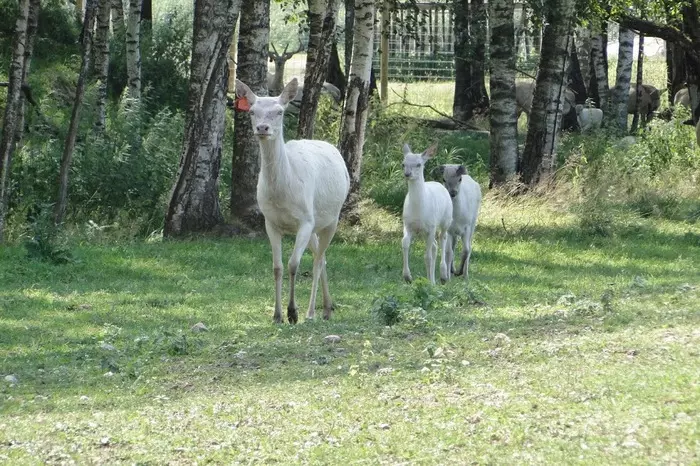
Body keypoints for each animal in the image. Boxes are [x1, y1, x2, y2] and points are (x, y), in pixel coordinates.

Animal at [235, 77, 350, 324]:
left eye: (279, 111)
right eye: (252, 111)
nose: (262, 128)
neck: (282, 194)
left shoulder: (305, 221)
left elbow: (293, 264)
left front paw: (293, 312)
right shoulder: (270, 222)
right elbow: (277, 267)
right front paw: (277, 315)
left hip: (331, 219)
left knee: (317, 262)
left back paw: (312, 312)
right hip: (316, 225)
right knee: (322, 258)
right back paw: (327, 308)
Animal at [402, 144, 452, 286]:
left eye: (419, 164)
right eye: (403, 164)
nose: (407, 174)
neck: (419, 211)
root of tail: (438, 183)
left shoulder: (431, 226)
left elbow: (427, 256)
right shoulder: (407, 224)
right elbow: (405, 243)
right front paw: (407, 276)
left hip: (446, 220)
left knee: (442, 240)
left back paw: (443, 276)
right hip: (424, 231)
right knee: (435, 245)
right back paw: (432, 280)